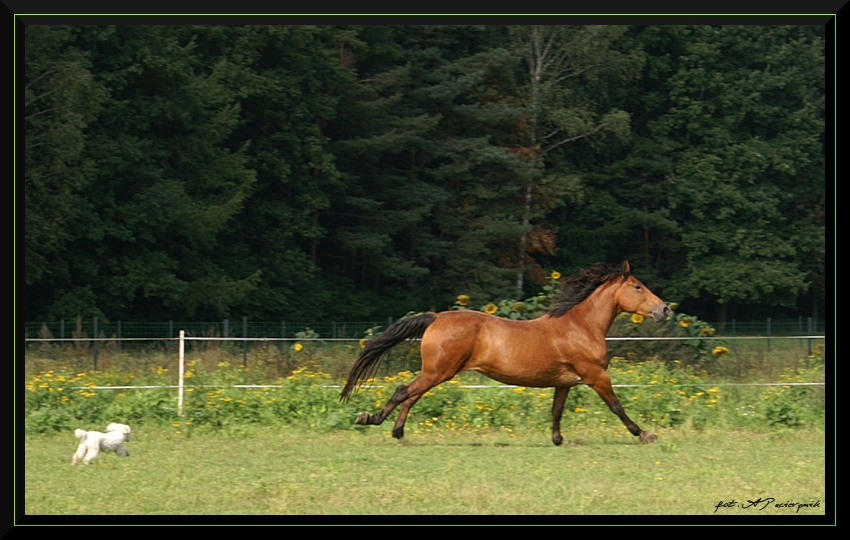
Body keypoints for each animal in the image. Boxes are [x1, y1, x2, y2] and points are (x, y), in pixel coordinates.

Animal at [338, 260, 668, 446]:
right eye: (637, 287)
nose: (664, 309)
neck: (581, 326)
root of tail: (436, 317)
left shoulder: (564, 382)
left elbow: (556, 410)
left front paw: (557, 439)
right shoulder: (595, 375)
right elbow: (617, 406)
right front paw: (644, 434)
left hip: (435, 373)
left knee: (410, 395)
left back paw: (396, 432)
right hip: (438, 371)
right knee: (403, 392)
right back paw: (370, 419)